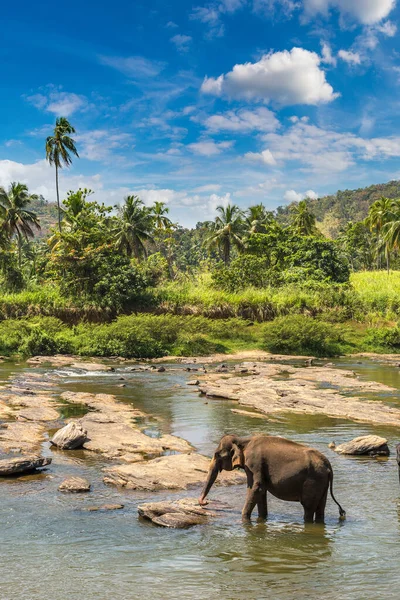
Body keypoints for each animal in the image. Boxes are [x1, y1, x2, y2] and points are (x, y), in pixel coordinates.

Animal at [198, 434, 346, 524]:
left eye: (217, 455)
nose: (205, 502)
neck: (243, 441)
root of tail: (328, 466)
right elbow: (261, 492)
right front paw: (262, 519)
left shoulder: (254, 464)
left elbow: (256, 488)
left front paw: (244, 520)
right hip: (322, 483)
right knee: (320, 507)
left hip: (313, 481)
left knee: (308, 508)